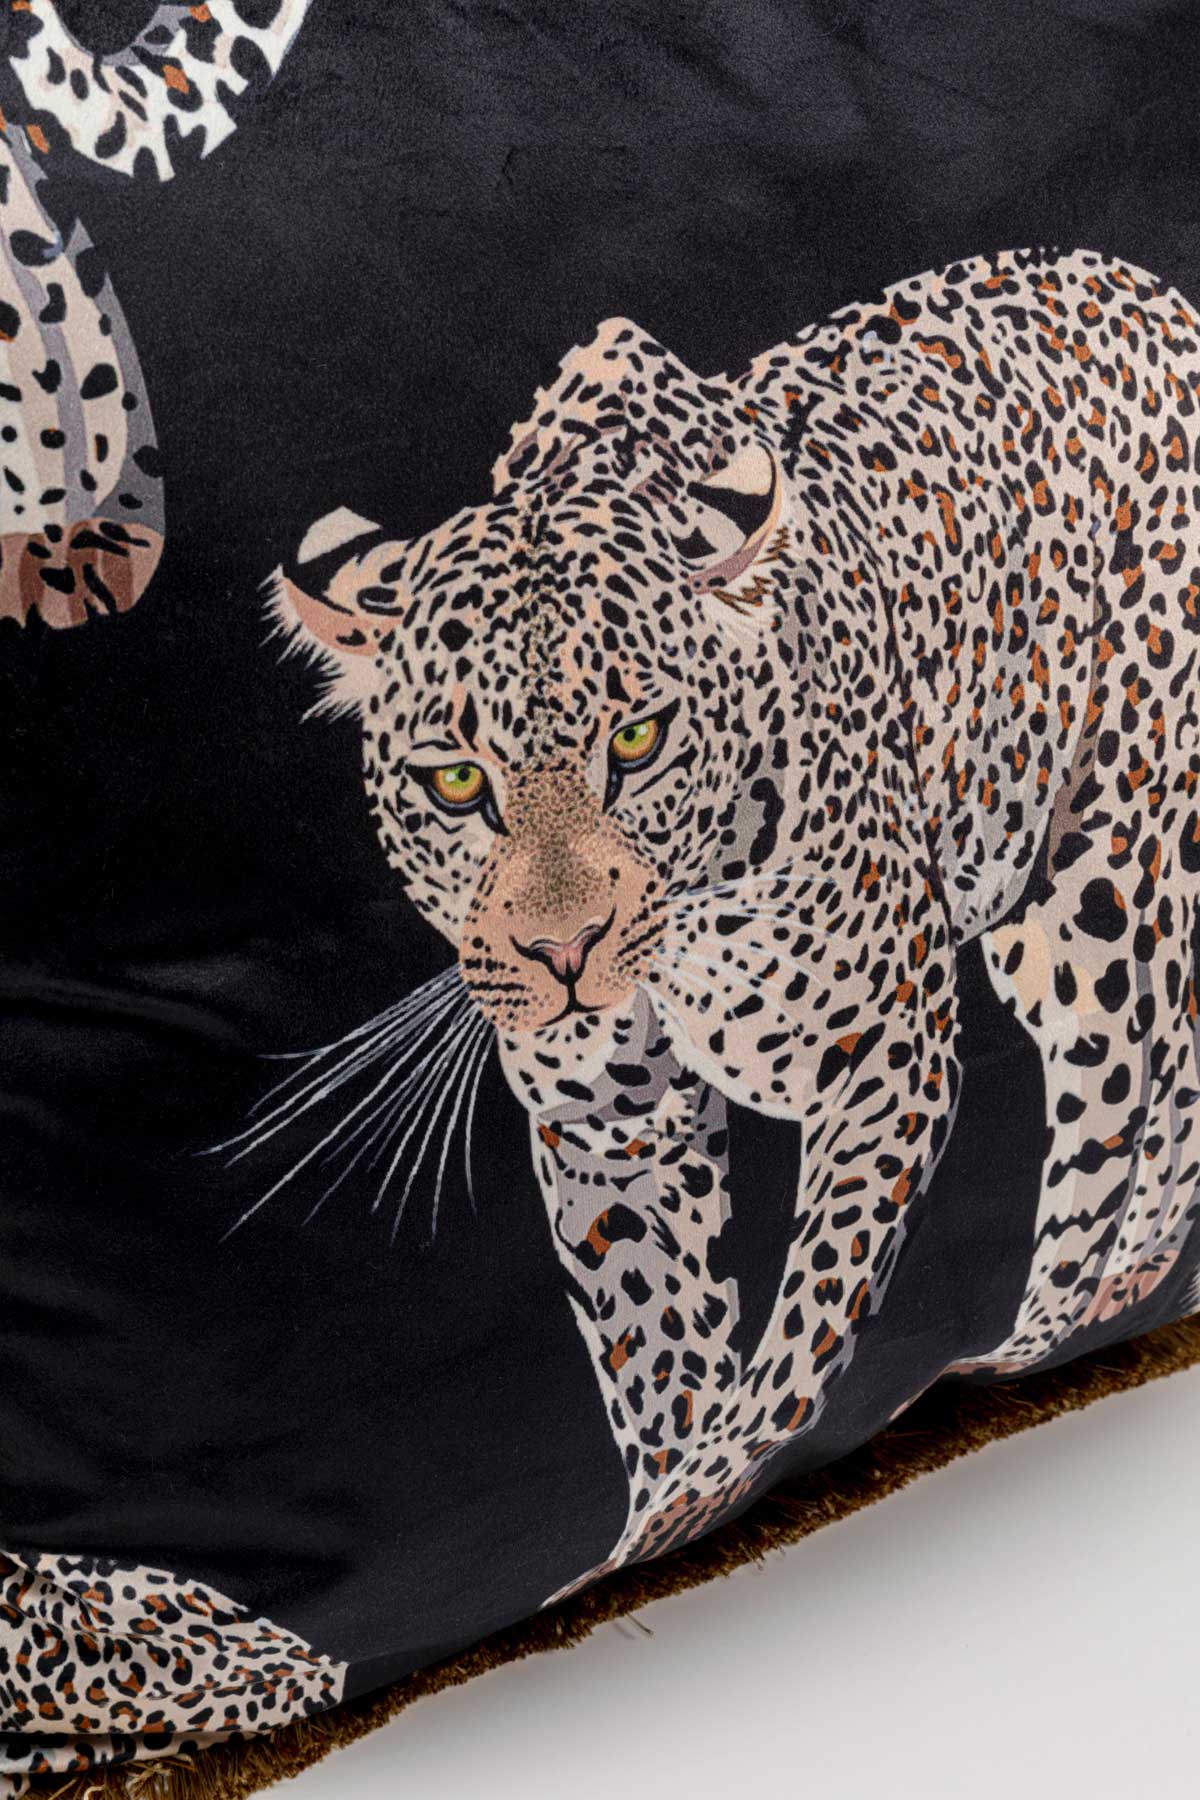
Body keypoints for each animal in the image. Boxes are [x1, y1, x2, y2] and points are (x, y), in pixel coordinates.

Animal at [257, 246, 1200, 1600]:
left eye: (639, 740)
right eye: (458, 782)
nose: (564, 956)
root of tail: (1146, 283)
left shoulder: (882, 1057)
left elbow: (800, 1333)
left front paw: (699, 1493)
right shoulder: (611, 1124)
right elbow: (656, 1352)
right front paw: (659, 1522)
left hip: (1100, 890)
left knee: (1125, 1093)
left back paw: (1084, 1301)